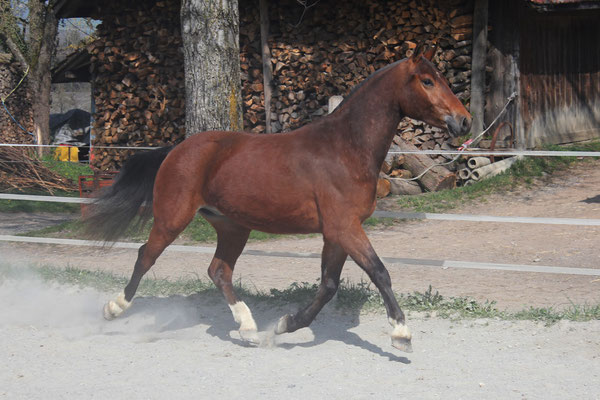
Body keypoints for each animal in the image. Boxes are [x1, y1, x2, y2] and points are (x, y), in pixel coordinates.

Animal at [86, 44, 472, 354]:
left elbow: (328, 286)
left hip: (232, 226)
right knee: (145, 256)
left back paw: (249, 329)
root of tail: (176, 149)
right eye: (427, 81)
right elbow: (379, 272)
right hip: (172, 217)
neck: (345, 148)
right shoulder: (345, 227)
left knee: (219, 271)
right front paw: (402, 334)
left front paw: (285, 325)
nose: (465, 121)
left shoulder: (337, 233)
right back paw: (113, 308)